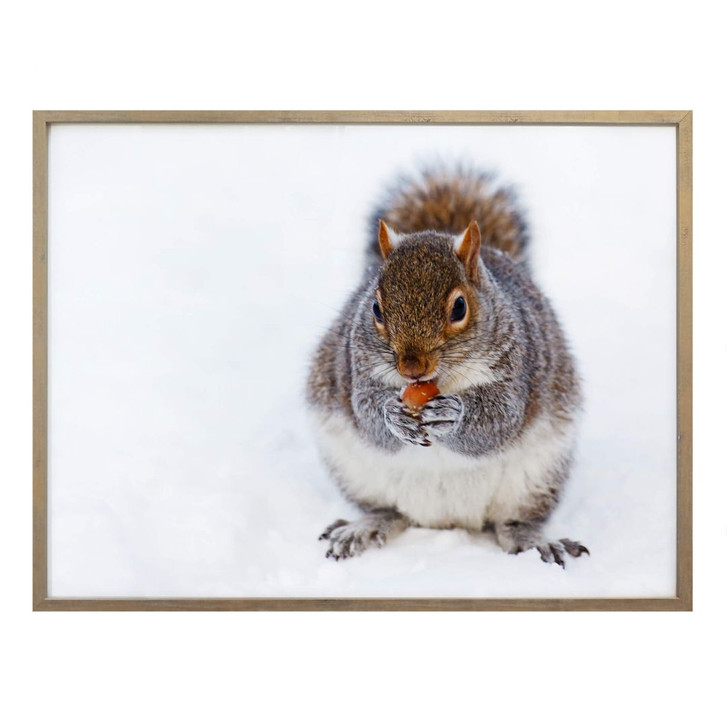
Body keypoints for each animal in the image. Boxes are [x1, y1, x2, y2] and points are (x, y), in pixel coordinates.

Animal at [307, 167, 588, 567]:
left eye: (459, 307)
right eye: (375, 308)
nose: (412, 368)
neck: (439, 380)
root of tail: (447, 520)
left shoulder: (518, 367)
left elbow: (500, 419)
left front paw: (452, 415)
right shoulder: (355, 366)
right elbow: (366, 412)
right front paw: (392, 415)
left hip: (536, 478)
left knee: (513, 522)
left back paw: (535, 541)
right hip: (355, 471)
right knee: (389, 511)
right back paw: (363, 527)